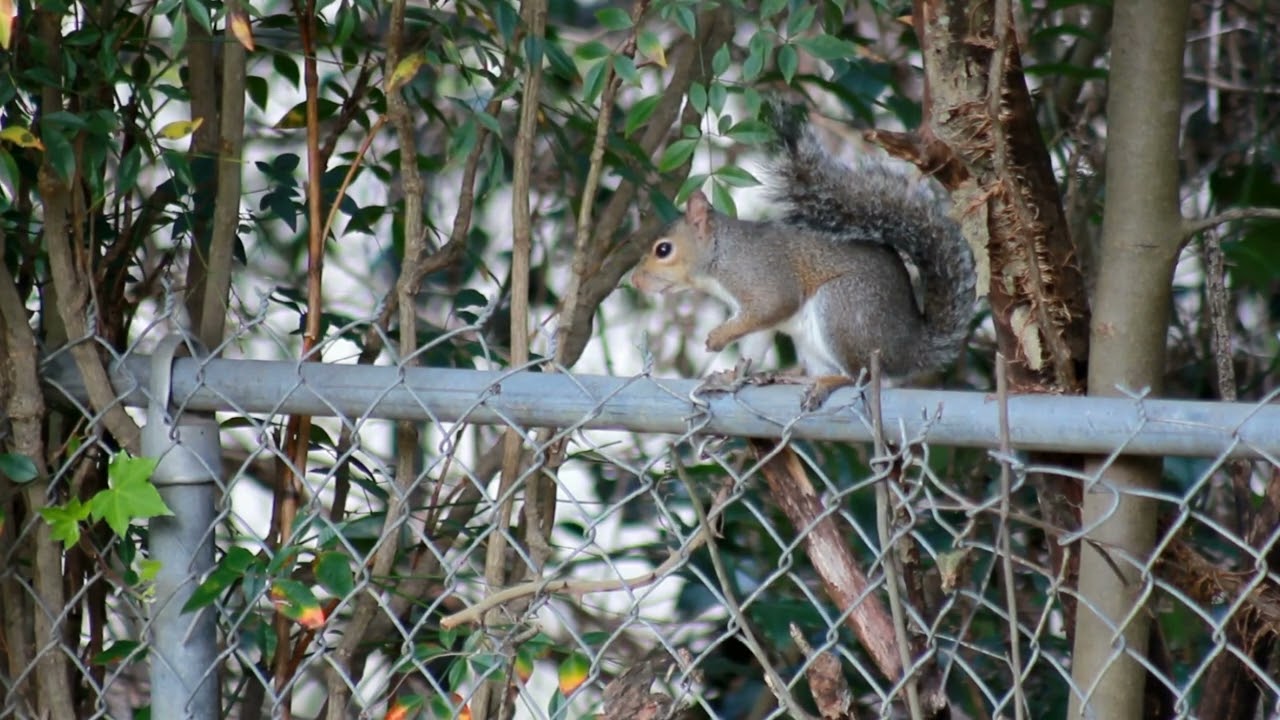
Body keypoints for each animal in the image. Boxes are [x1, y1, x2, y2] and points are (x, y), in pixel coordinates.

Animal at [631, 102, 976, 407]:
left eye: (663, 250)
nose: (634, 281)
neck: (721, 255)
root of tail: (910, 346)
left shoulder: (761, 275)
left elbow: (774, 304)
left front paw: (717, 338)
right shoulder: (752, 315)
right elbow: (752, 346)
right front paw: (731, 377)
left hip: (843, 308)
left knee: (859, 376)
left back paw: (827, 382)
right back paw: (796, 377)